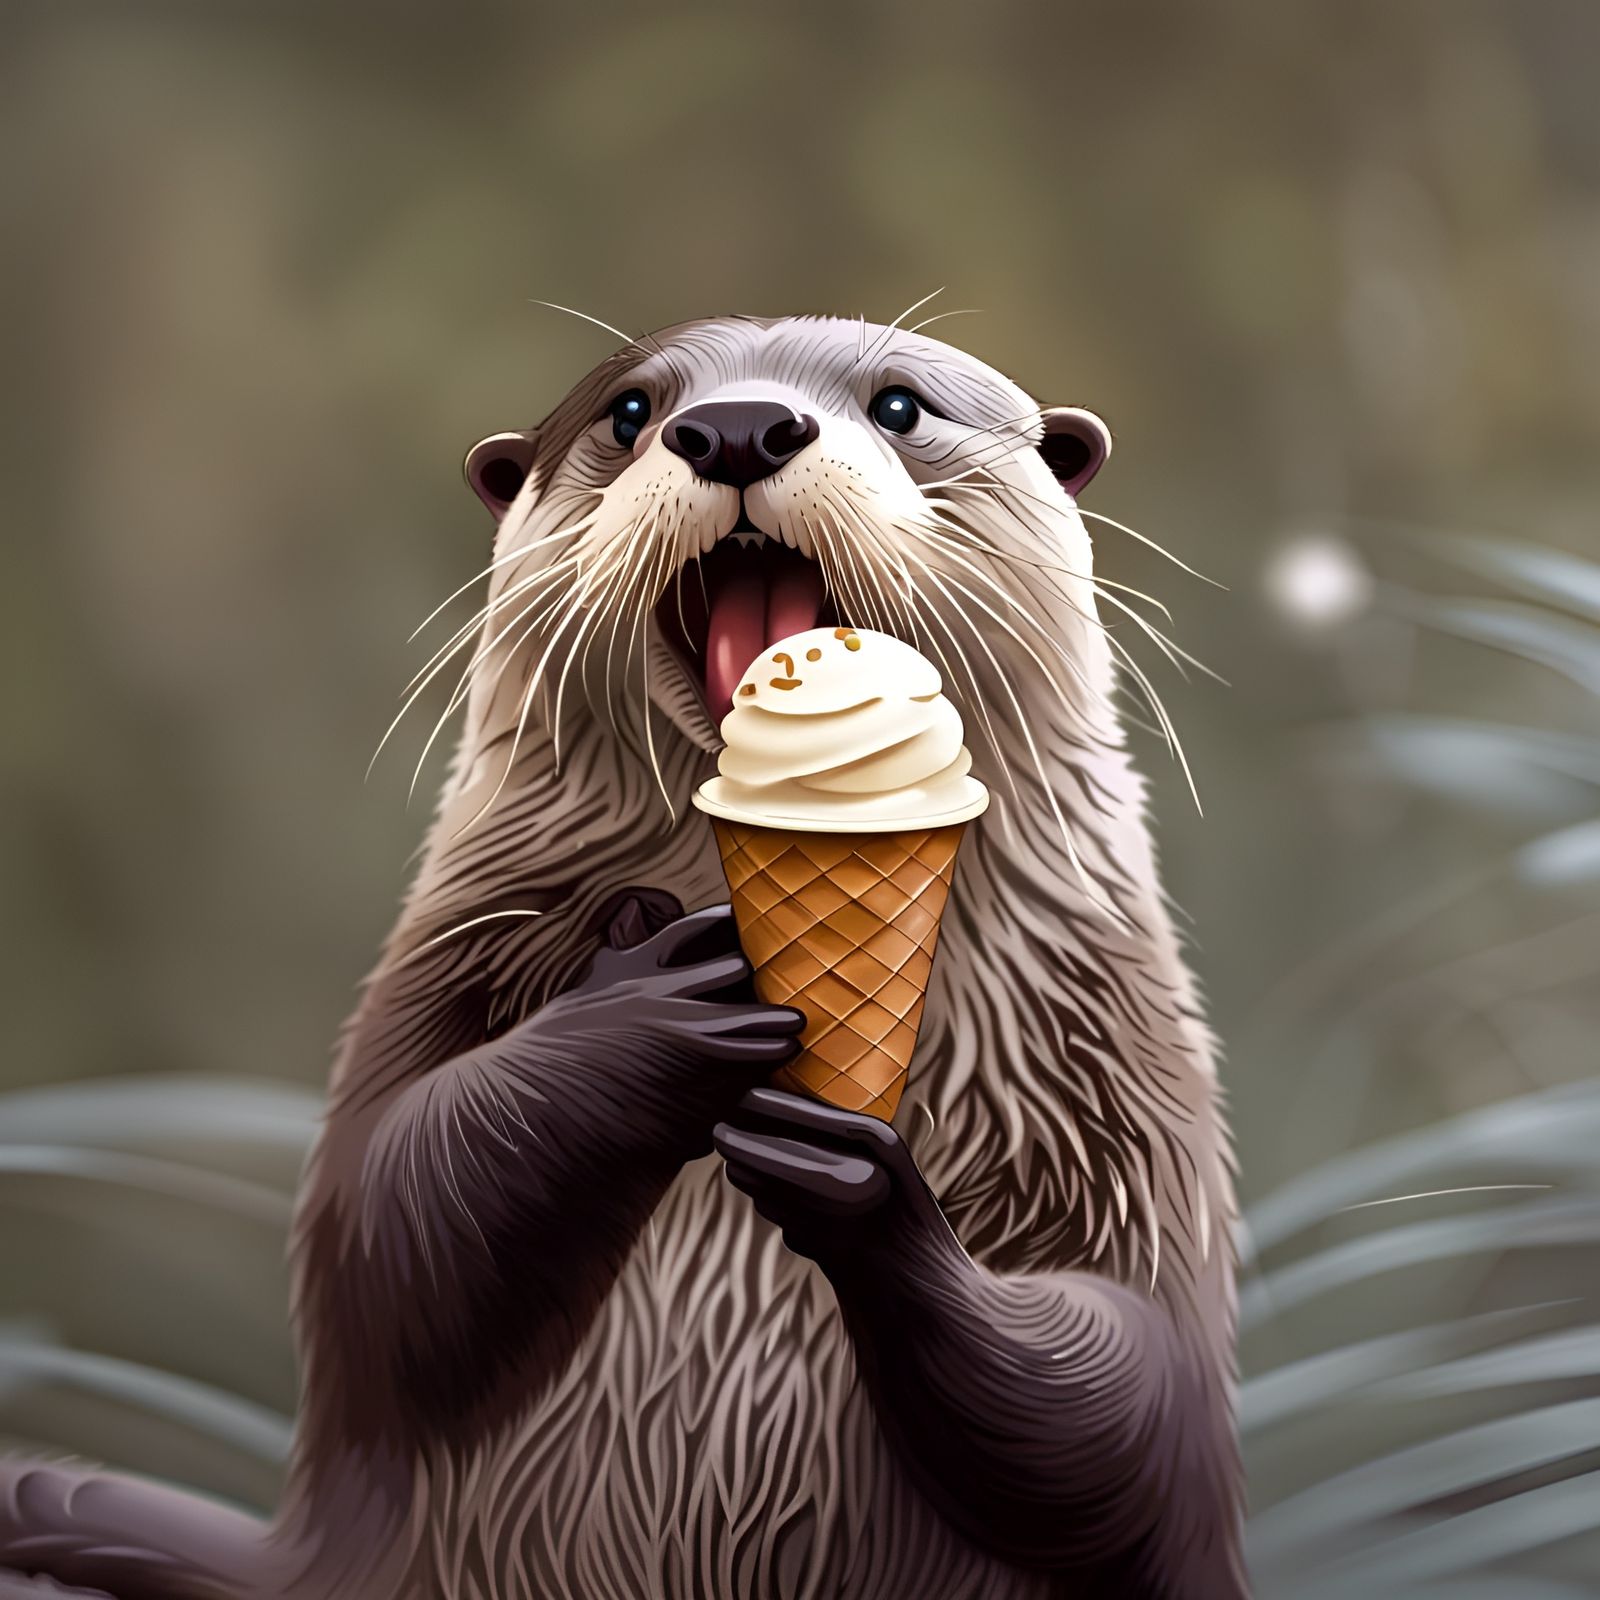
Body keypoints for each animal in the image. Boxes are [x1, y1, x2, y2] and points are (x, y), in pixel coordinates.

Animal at [0, 314, 1245, 1599]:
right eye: (632, 412)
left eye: (901, 405)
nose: (738, 425)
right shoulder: (435, 979)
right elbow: (388, 1234)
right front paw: (649, 1008)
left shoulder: (1111, 1078)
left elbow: (1128, 1389)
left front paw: (855, 1180)